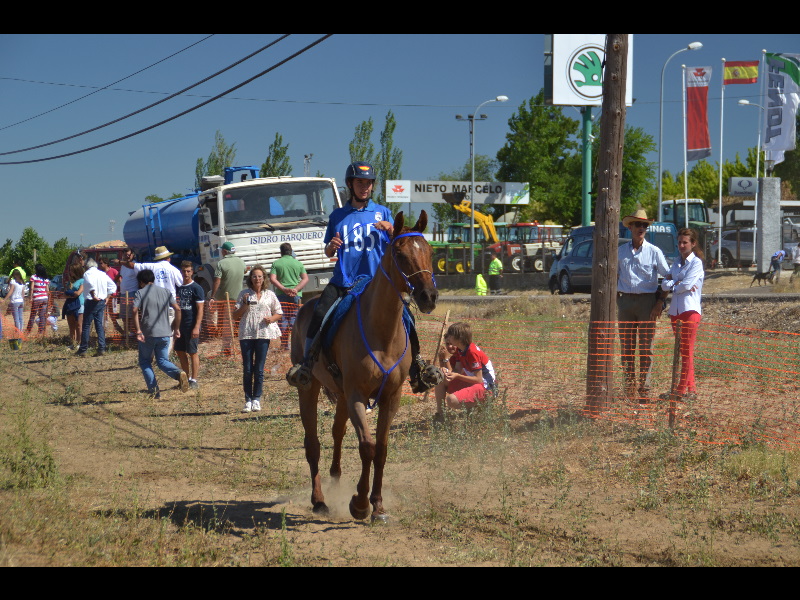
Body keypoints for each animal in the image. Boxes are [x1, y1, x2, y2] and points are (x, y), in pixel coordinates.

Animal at [292, 210, 438, 520]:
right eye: (399, 253)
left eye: (430, 251)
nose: (429, 297)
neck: (381, 333)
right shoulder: (358, 395)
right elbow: (367, 447)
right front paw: (359, 503)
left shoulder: (390, 398)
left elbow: (380, 449)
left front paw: (378, 505)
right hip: (310, 389)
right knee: (313, 444)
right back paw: (319, 500)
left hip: (341, 394)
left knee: (337, 432)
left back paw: (335, 478)